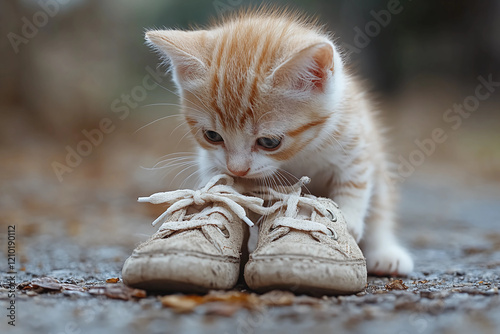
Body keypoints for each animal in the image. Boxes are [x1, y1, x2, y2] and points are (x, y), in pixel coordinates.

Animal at [145, 7, 414, 276]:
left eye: (269, 142)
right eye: (212, 136)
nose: (238, 169)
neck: (300, 153)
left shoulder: (355, 140)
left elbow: (354, 183)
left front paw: (349, 220)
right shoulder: (211, 159)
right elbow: (219, 183)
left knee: (381, 208)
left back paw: (385, 252)